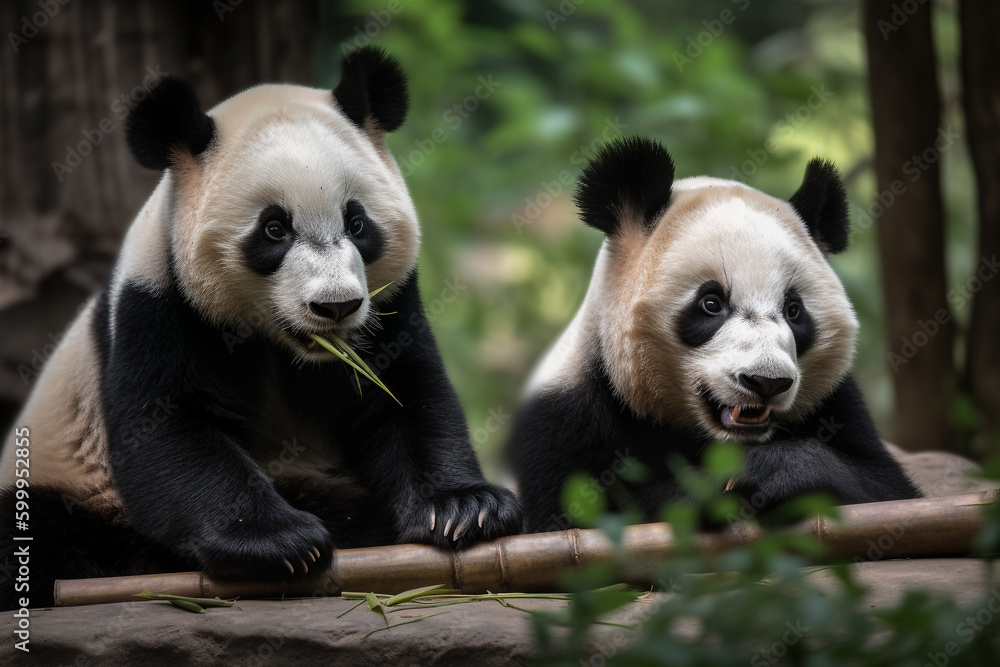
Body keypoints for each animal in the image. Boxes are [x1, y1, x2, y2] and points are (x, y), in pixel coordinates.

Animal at [0, 46, 521, 609]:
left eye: (357, 223)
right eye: (274, 229)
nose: (335, 307)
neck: (284, 347)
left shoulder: (390, 304)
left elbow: (405, 395)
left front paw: (464, 509)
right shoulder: (160, 304)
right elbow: (171, 427)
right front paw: (279, 542)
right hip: (72, 485)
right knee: (42, 536)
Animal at [511, 137, 921, 533]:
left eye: (793, 310)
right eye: (711, 304)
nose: (766, 382)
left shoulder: (837, 403)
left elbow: (885, 489)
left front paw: (770, 471)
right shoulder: (564, 416)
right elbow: (585, 515)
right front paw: (717, 486)